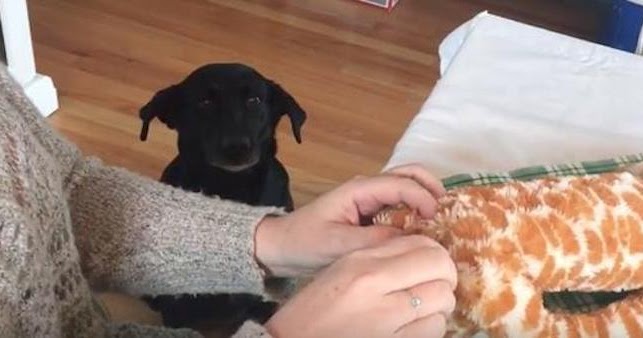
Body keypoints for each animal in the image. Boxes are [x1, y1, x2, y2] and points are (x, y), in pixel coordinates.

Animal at [138, 62, 306, 332]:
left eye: (254, 100)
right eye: (204, 102)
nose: (236, 146)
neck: (230, 186)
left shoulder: (263, 306)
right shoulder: (177, 310)